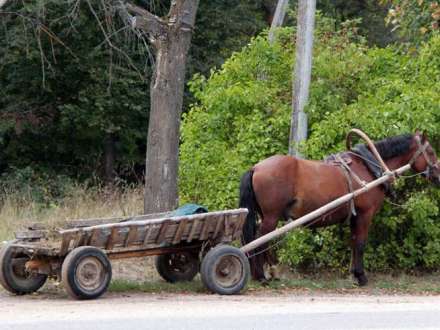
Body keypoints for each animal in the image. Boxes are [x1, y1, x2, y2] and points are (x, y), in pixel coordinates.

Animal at [239, 130, 440, 284]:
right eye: (430, 151)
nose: (438, 174)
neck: (368, 166)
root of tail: (256, 167)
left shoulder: (355, 216)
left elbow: (353, 242)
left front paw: (354, 274)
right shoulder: (365, 214)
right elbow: (361, 243)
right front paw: (361, 277)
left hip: (265, 216)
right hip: (271, 217)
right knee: (259, 240)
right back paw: (261, 276)